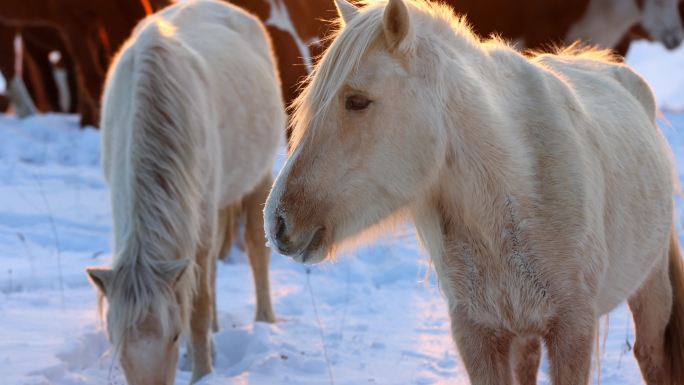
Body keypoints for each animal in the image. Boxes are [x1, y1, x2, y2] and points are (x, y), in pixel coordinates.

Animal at [85, 1, 284, 382]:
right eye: (115, 341)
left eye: (174, 335)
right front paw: (200, 356)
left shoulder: (201, 218)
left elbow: (199, 305)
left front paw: (202, 372)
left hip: (258, 177)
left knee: (255, 249)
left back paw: (265, 322)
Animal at [264, 1, 684, 382]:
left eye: (357, 101)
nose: (277, 222)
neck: (512, 196)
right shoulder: (478, 335)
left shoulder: (573, 331)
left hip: (650, 292)